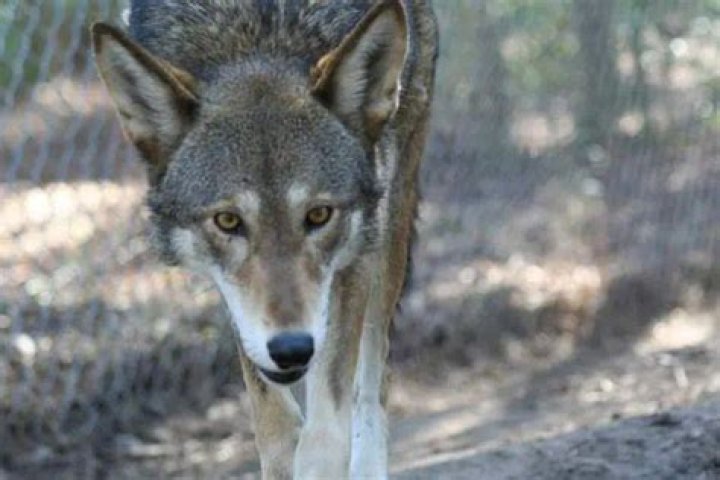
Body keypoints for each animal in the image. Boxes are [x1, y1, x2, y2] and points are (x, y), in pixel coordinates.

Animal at [92, 0, 437, 478]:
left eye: (318, 215)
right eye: (227, 221)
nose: (291, 349)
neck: (257, 36)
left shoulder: (357, 253)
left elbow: (325, 434)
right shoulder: (234, 296)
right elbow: (275, 432)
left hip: (392, 221)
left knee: (372, 377)